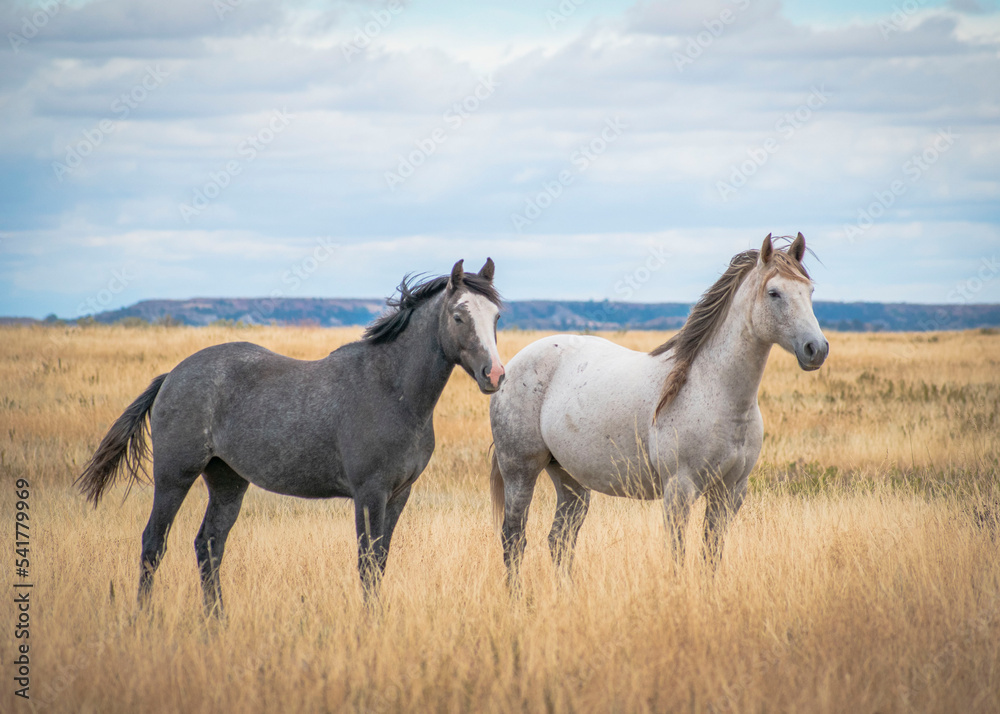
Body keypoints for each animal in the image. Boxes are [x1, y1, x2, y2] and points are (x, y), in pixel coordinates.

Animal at [76, 258, 508, 612]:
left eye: (497, 318)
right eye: (459, 316)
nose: (495, 374)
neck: (392, 389)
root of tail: (172, 376)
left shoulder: (399, 494)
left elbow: (381, 561)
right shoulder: (369, 494)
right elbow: (367, 563)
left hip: (227, 481)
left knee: (209, 546)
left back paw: (217, 622)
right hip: (173, 477)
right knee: (154, 543)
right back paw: (144, 618)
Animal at [490, 234, 828, 584]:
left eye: (810, 291)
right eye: (774, 293)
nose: (816, 349)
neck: (718, 392)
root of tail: (510, 366)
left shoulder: (730, 491)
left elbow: (711, 554)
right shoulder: (679, 489)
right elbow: (678, 554)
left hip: (570, 480)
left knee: (559, 539)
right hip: (520, 471)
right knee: (514, 538)